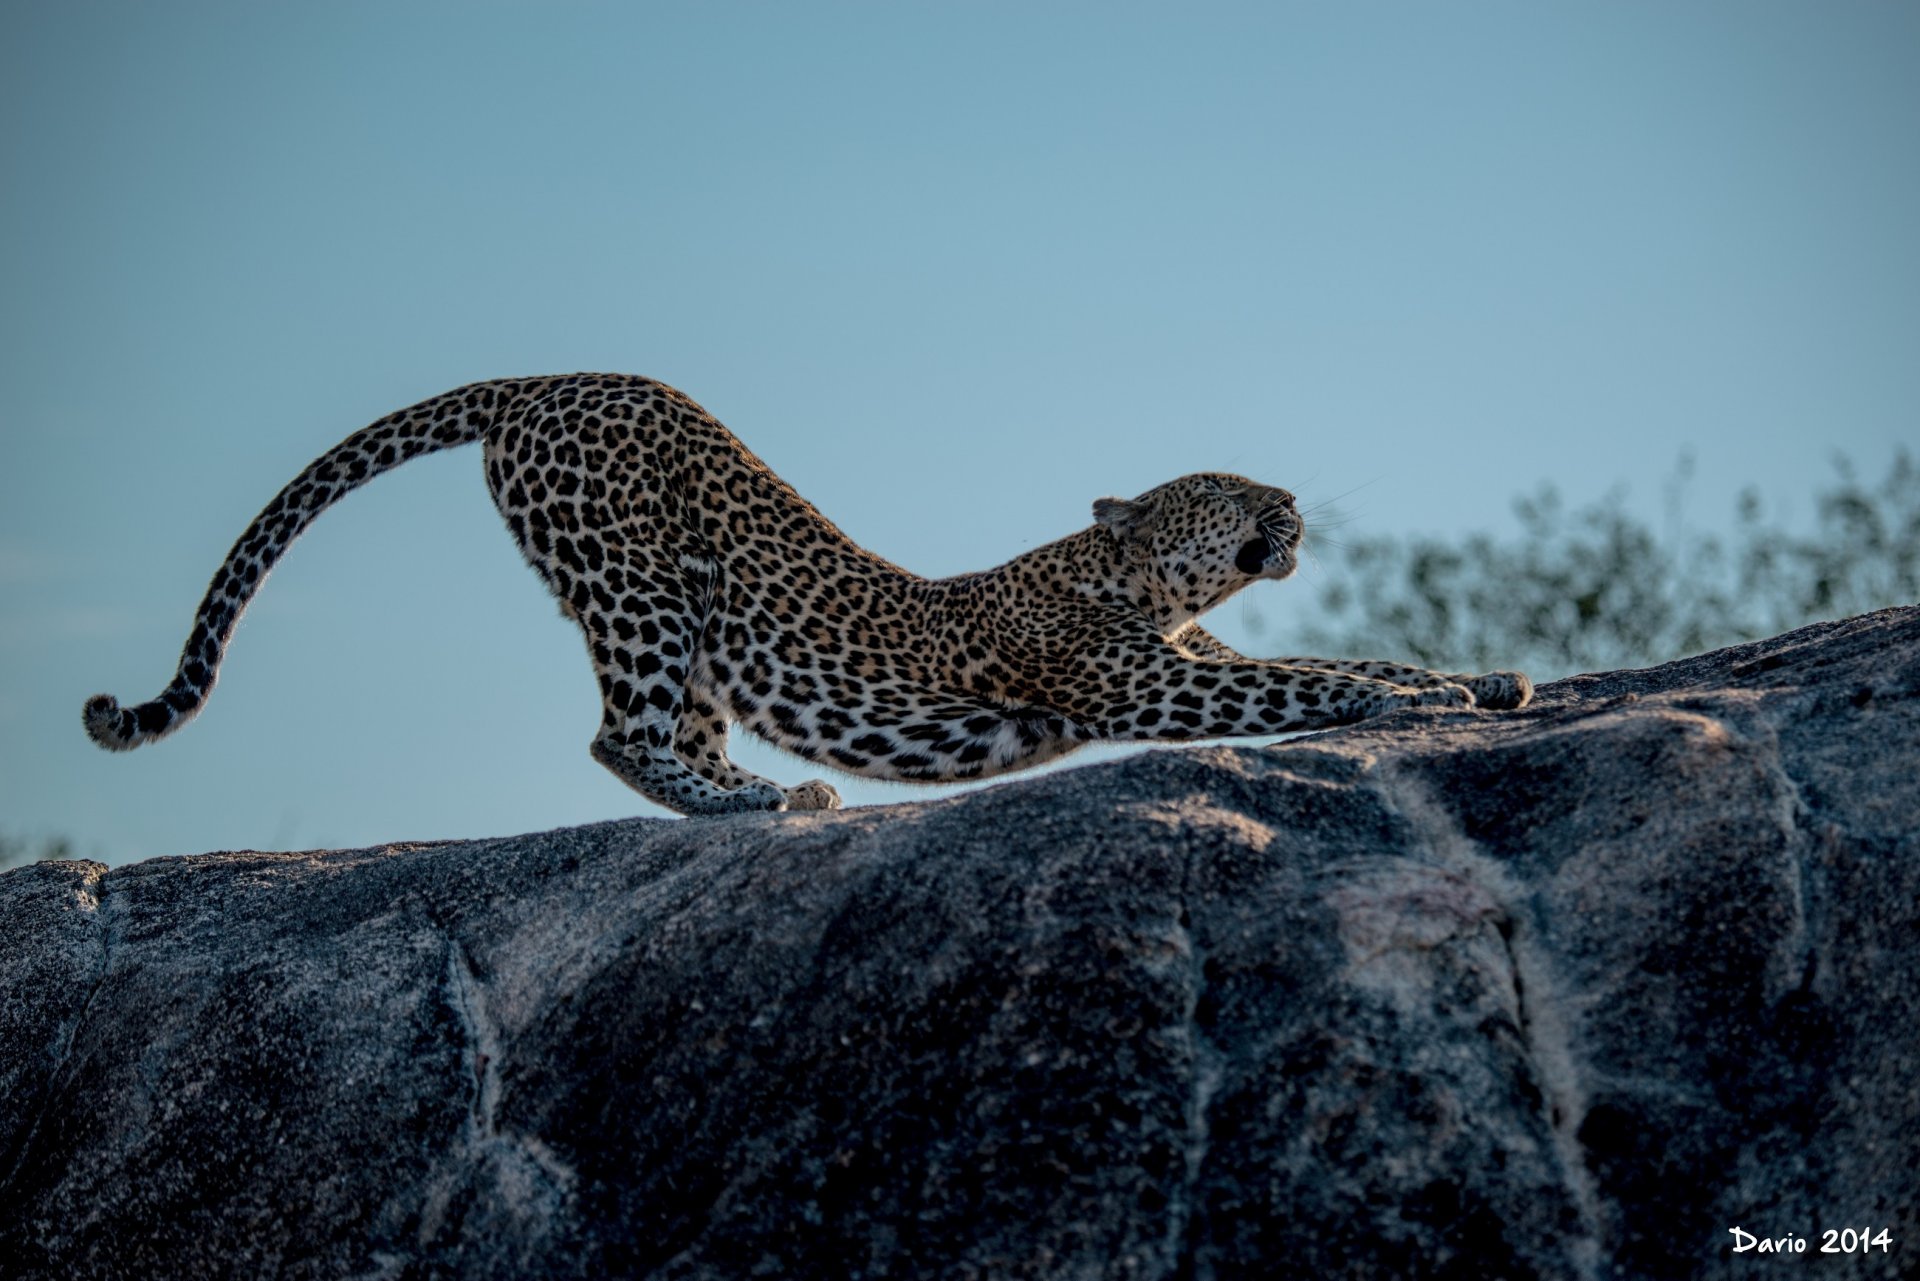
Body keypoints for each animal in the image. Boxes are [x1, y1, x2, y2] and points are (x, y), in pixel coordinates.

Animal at [84, 373, 1532, 817]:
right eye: (1226, 486)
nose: (1291, 498)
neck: (1145, 588)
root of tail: (543, 379)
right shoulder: (1146, 684)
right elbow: (1315, 679)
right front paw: (1438, 691)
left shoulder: (1188, 663)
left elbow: (1346, 660)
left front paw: (1489, 675)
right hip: (637, 584)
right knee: (619, 735)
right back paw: (760, 804)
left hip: (698, 631)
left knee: (669, 730)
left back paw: (774, 794)